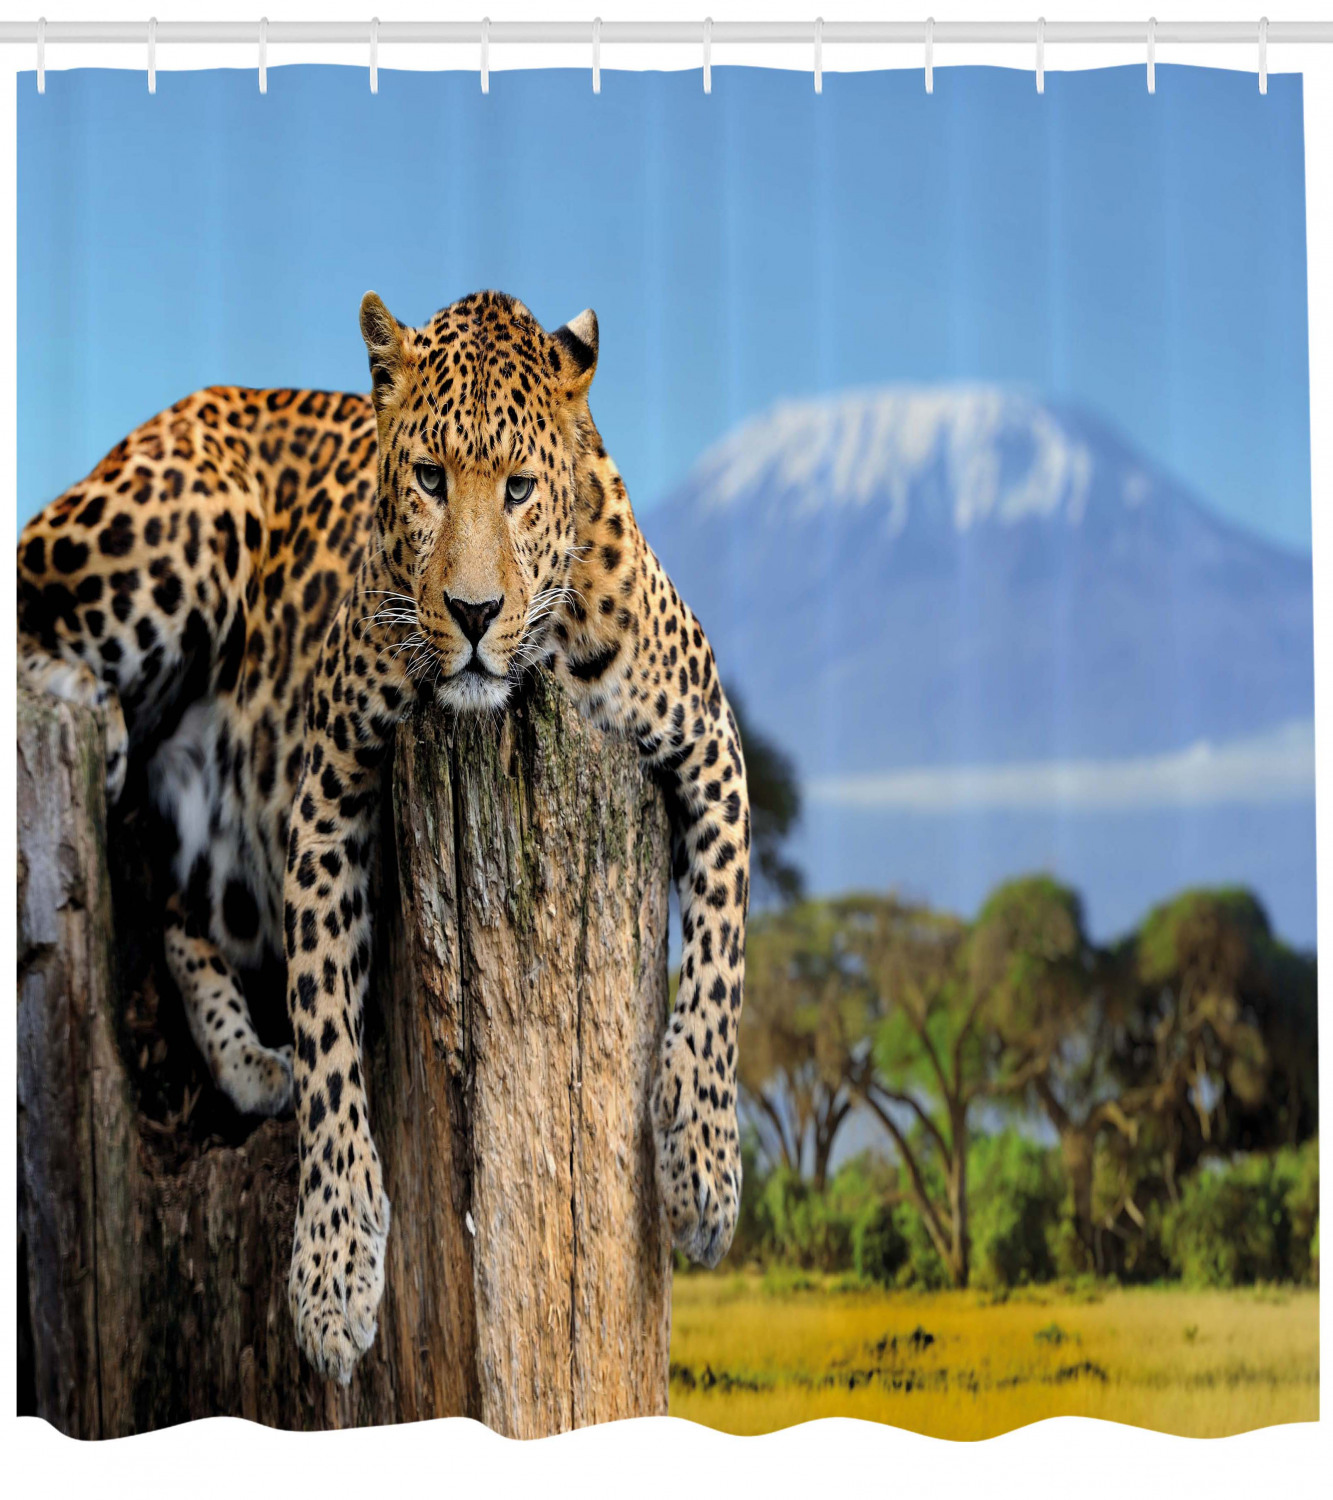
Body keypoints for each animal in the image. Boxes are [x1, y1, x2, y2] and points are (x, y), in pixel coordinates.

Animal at [16, 290, 750, 1385]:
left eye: (520, 487)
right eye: (429, 479)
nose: (475, 612)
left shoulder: (710, 740)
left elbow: (719, 963)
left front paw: (701, 1166)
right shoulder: (324, 797)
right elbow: (328, 1032)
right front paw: (330, 1272)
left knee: (172, 896)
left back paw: (246, 1059)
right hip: (179, 527)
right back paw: (86, 708)